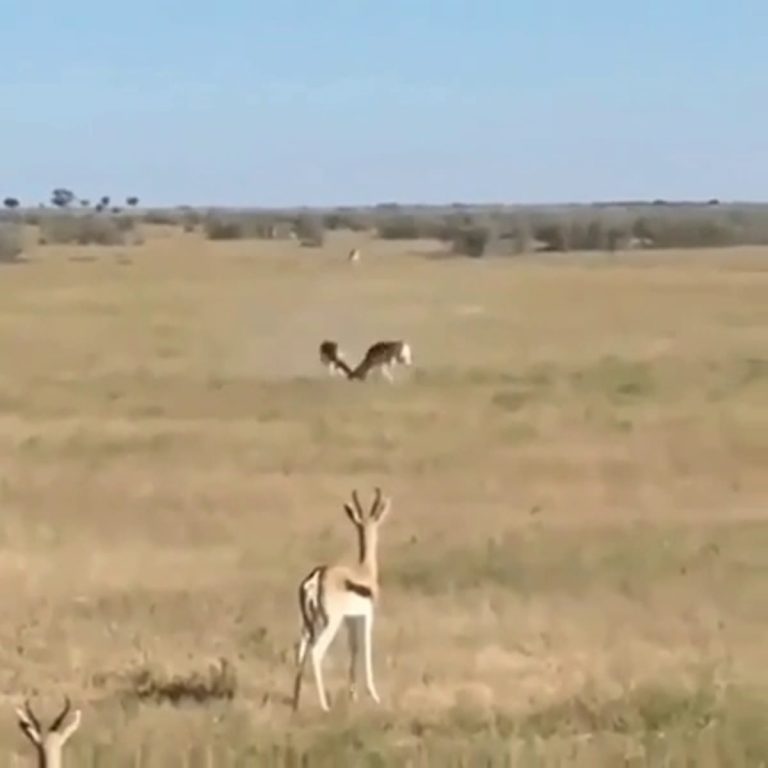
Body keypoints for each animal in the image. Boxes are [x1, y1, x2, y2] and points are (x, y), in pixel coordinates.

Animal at [292, 488, 392, 712]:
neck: (365, 571)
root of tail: (317, 576)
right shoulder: (367, 615)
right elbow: (365, 647)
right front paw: (374, 696)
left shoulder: (350, 619)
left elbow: (353, 648)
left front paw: (352, 696)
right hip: (331, 622)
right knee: (316, 652)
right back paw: (324, 706)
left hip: (307, 623)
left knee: (300, 651)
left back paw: (295, 704)